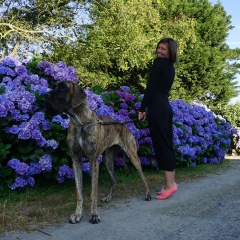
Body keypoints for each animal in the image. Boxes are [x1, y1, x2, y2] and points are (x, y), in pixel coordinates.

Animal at [44, 80, 150, 223]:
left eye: (63, 88)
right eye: (54, 86)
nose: (45, 95)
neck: (80, 121)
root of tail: (123, 124)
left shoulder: (93, 161)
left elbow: (93, 193)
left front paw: (94, 215)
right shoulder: (76, 161)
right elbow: (79, 193)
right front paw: (77, 214)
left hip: (132, 155)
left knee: (143, 176)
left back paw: (148, 194)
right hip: (108, 160)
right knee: (114, 180)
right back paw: (108, 197)